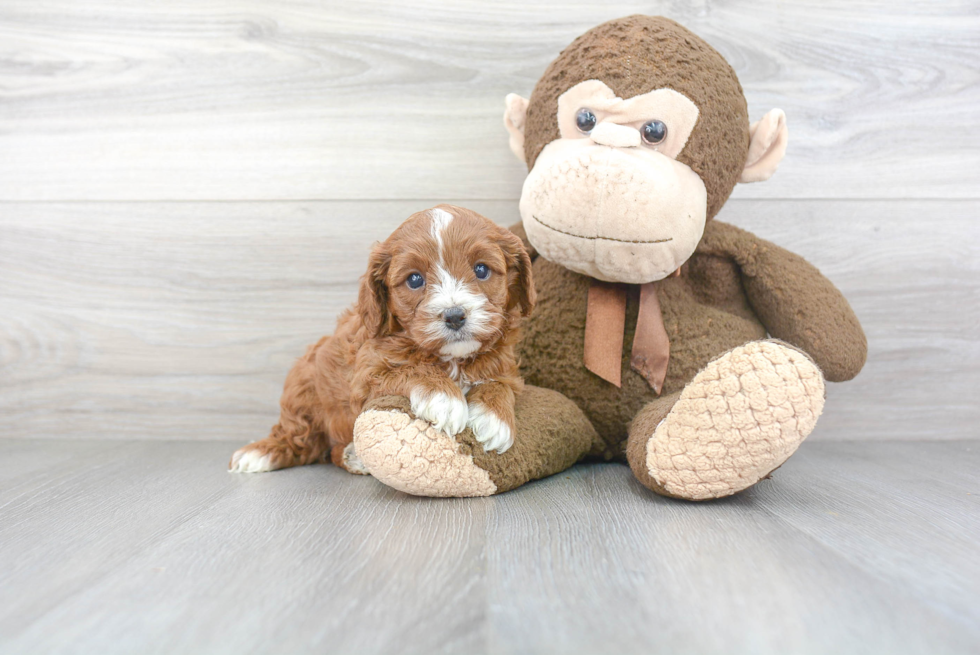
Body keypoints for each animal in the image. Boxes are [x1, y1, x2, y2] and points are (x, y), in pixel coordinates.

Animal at [228, 205, 536, 476]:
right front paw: (445, 398)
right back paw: (261, 453)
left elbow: (499, 383)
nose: (454, 316)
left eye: (481, 270)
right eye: (414, 279)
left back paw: (353, 456)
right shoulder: (366, 374)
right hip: (301, 389)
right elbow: (411, 368)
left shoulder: (505, 366)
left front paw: (493, 418)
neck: (452, 358)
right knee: (297, 436)